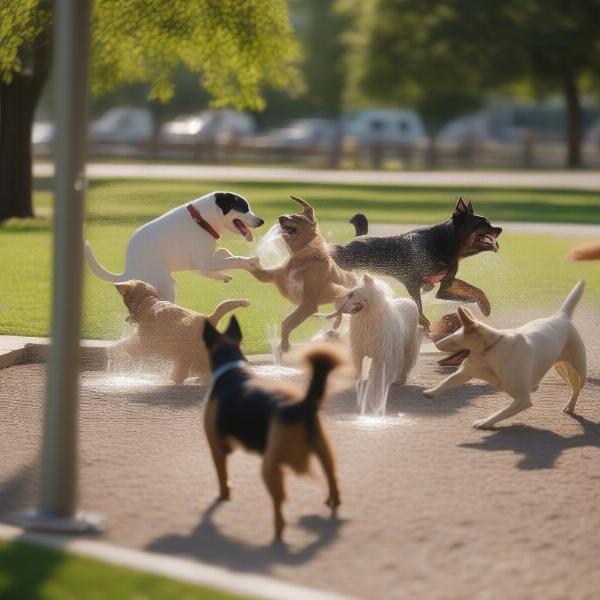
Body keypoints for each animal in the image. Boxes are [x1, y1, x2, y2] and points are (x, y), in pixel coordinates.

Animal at [84, 191, 262, 302]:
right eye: (244, 208)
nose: (261, 221)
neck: (201, 220)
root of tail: (127, 274)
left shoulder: (200, 263)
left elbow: (224, 254)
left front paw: (222, 275)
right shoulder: (204, 262)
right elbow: (235, 259)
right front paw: (250, 261)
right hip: (167, 286)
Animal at [202, 316, 342, 540]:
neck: (231, 369)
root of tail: (301, 406)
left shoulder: (216, 447)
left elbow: (222, 478)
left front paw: (223, 497)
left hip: (269, 466)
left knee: (279, 505)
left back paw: (277, 533)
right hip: (324, 450)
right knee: (332, 478)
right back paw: (332, 502)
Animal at [330, 198, 504, 336]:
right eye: (485, 223)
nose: (500, 228)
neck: (445, 243)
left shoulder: (446, 285)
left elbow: (474, 291)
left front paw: (485, 307)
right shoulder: (413, 283)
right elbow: (419, 309)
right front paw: (426, 325)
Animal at [424, 278, 588, 428]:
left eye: (453, 337)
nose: (436, 343)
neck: (490, 350)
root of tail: (561, 316)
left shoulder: (523, 400)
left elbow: (502, 412)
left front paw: (484, 422)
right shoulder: (467, 372)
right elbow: (447, 381)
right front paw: (431, 392)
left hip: (579, 369)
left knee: (577, 388)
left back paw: (570, 406)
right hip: (560, 367)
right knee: (572, 386)